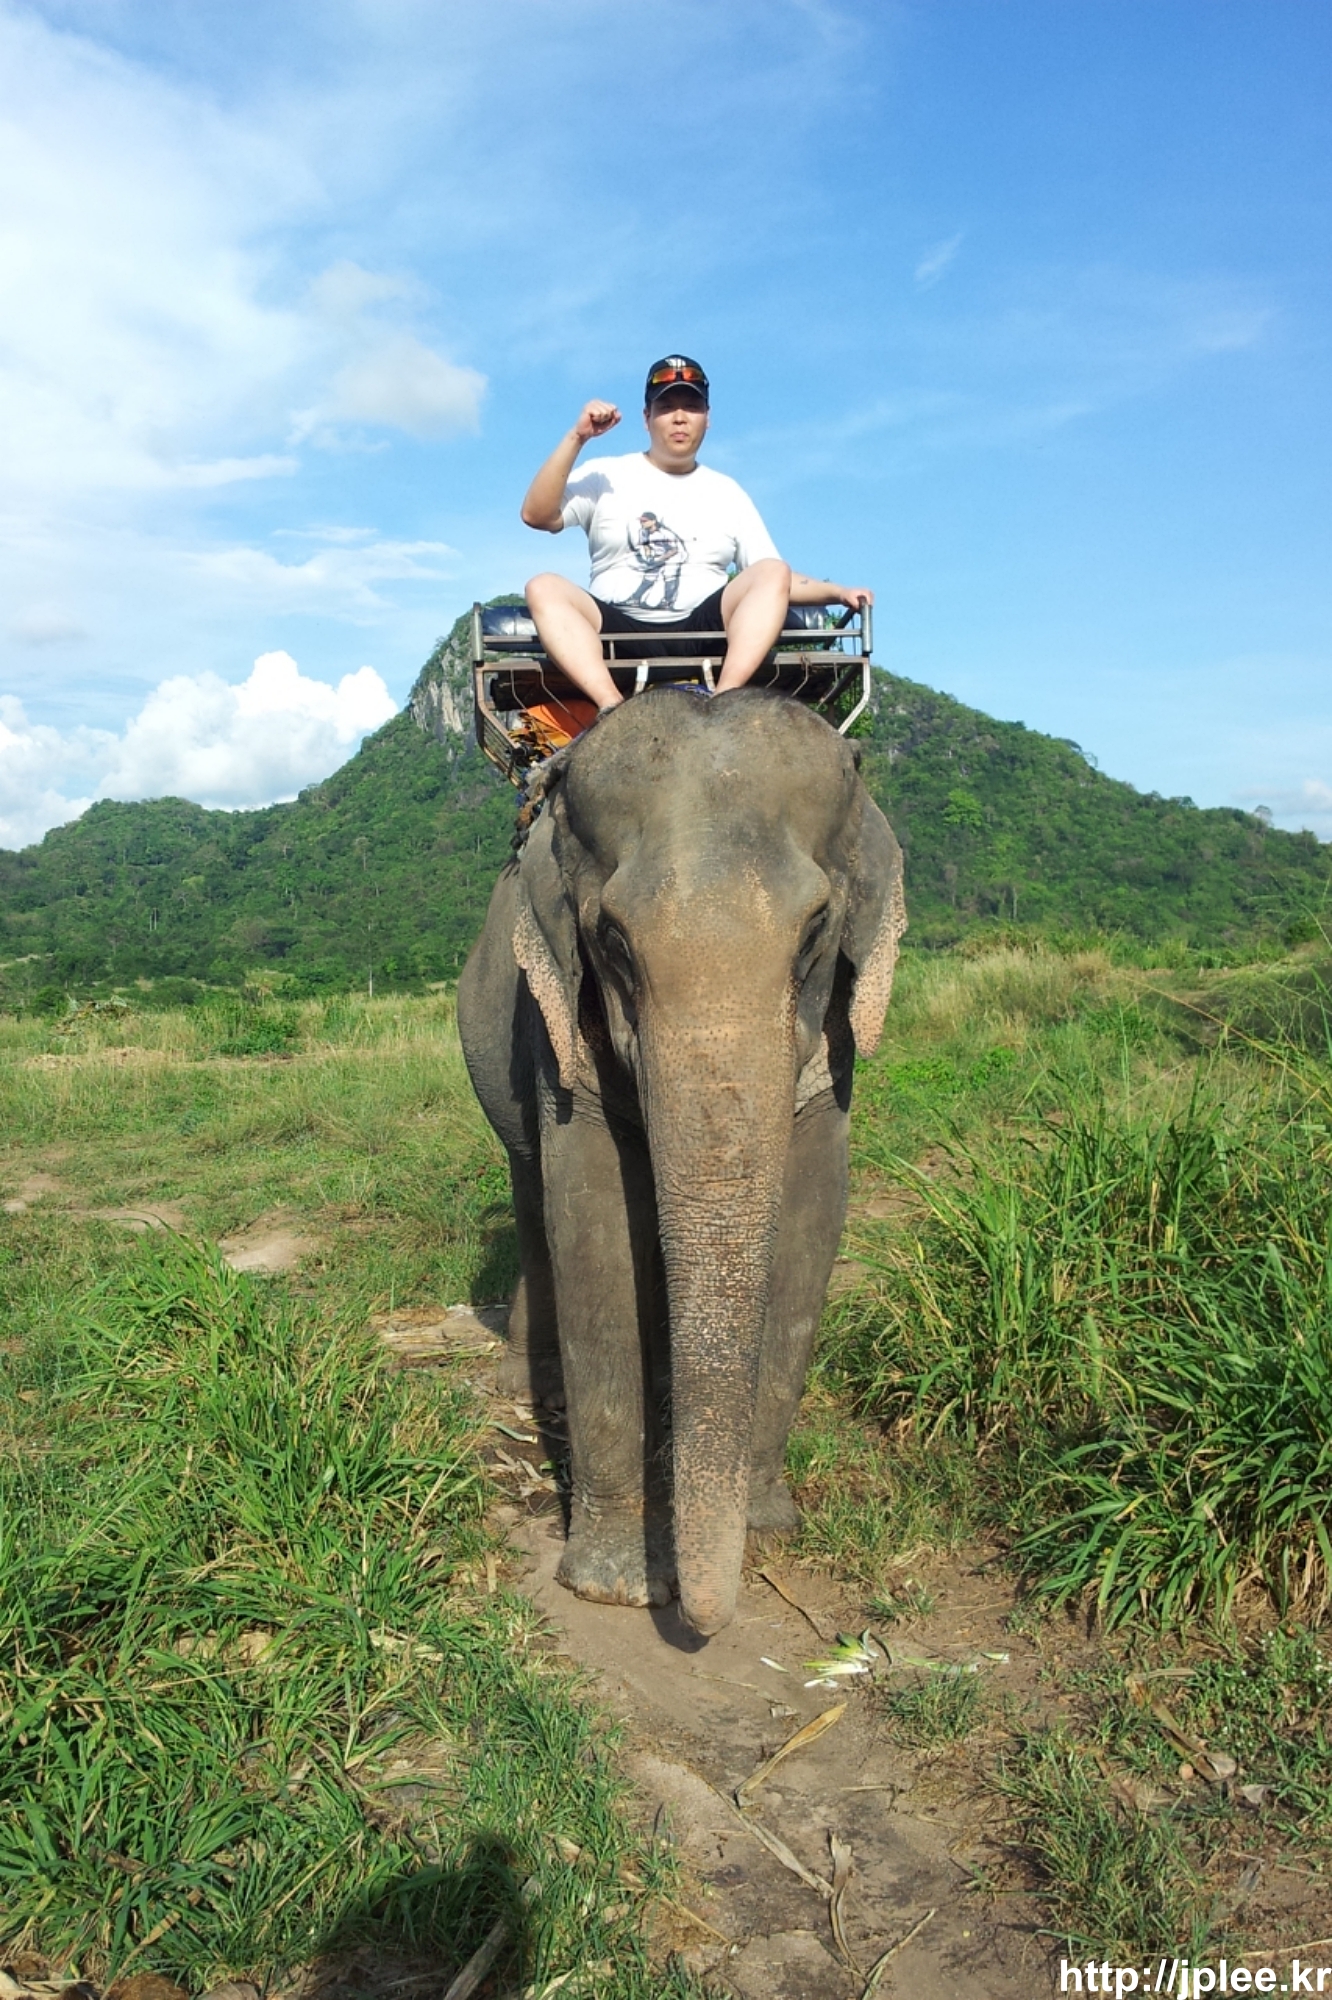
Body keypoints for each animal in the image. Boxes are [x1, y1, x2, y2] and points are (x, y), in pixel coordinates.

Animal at [457, 686, 905, 1637]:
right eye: (615, 942)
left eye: (817, 930)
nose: (706, 1622)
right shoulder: (558, 1032)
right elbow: (593, 1226)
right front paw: (617, 1584)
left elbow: (812, 1221)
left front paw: (763, 1524)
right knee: (530, 1197)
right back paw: (527, 1386)